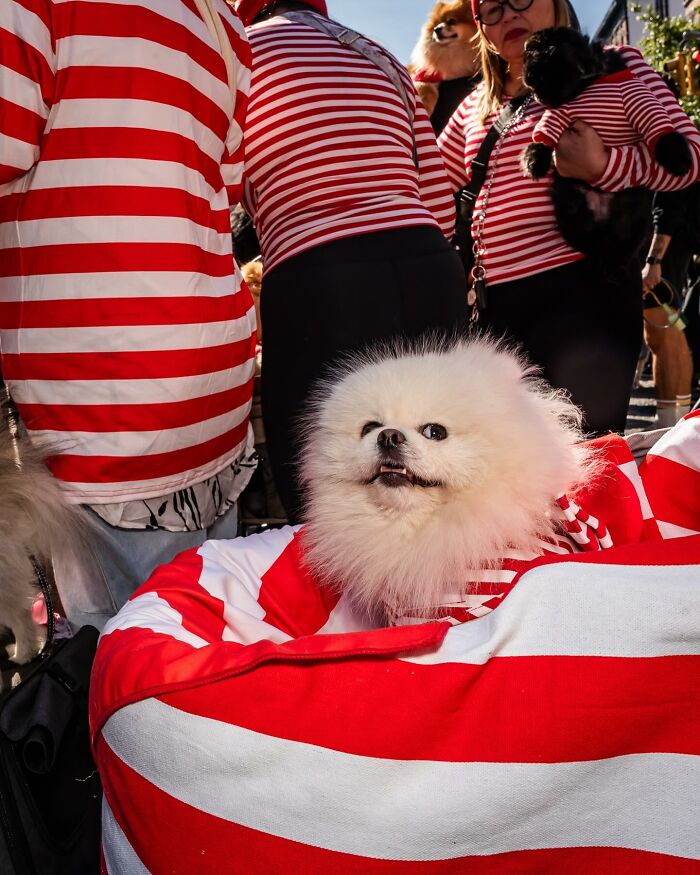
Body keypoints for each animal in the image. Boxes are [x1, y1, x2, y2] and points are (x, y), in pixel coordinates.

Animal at [520, 28, 688, 266]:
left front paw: (679, 158)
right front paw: (533, 161)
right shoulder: (559, 114)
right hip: (569, 205)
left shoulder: (639, 100)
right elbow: (543, 138)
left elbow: (662, 132)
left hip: (635, 217)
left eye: (540, 76)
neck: (588, 82)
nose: (530, 86)